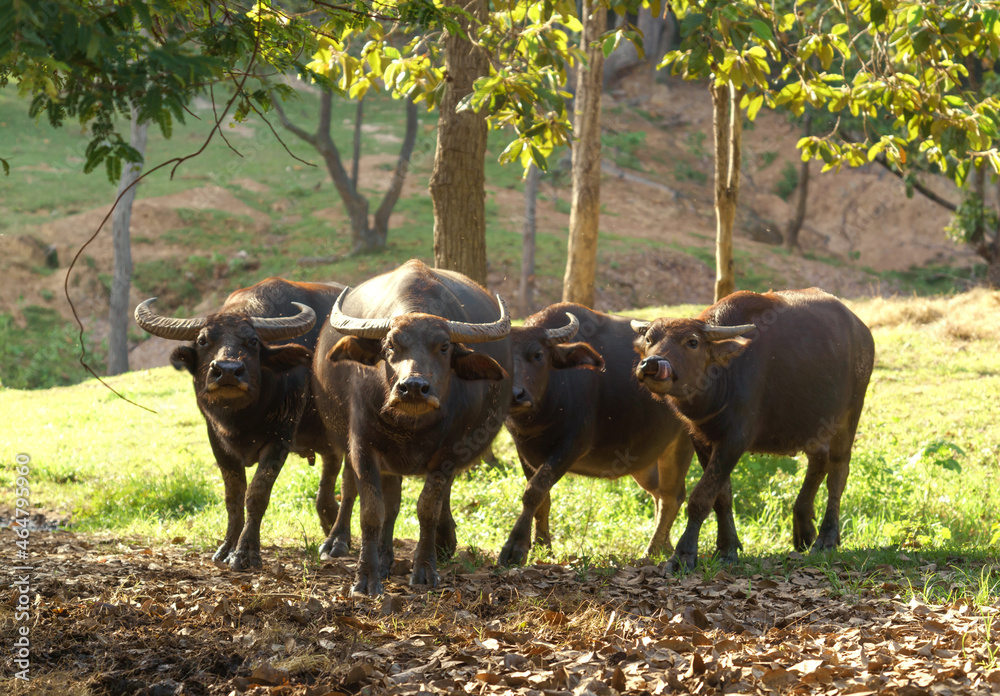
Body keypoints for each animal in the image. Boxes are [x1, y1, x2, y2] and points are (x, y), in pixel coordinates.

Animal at [133, 278, 352, 572]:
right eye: (203, 340)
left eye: (253, 341)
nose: (227, 371)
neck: (241, 418)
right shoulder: (217, 440)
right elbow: (234, 497)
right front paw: (226, 548)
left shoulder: (280, 437)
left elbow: (256, 494)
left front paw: (246, 552)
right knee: (330, 471)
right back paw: (329, 522)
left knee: (351, 483)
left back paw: (338, 541)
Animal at [498, 304, 696, 564]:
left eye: (538, 355)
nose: (515, 395)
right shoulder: (524, 452)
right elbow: (543, 499)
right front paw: (544, 547)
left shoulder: (571, 446)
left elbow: (534, 491)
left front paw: (515, 548)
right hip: (645, 461)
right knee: (659, 493)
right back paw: (664, 545)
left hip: (681, 445)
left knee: (672, 497)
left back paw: (652, 550)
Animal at [632, 288, 876, 572]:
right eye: (650, 339)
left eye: (692, 342)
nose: (651, 365)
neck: (722, 378)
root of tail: (862, 332)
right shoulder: (701, 439)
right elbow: (721, 496)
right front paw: (727, 547)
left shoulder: (735, 439)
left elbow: (701, 497)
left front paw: (684, 554)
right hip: (812, 424)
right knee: (819, 460)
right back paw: (804, 530)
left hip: (849, 414)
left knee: (838, 471)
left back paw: (826, 538)